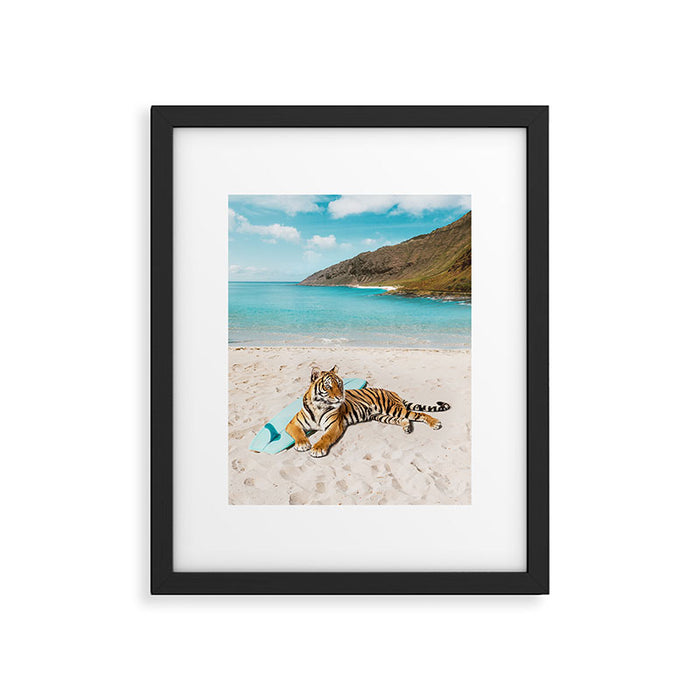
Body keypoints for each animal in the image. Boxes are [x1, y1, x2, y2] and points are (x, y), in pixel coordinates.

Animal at [285, 365, 451, 458]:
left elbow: (326, 437)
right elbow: (298, 433)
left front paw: (317, 449)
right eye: (328, 386)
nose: (340, 397)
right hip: (382, 416)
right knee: (404, 419)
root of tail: (393, 392)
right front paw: (302, 444)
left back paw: (435, 423)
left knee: (420, 414)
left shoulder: (335, 426)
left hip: (393, 409)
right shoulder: (292, 423)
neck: (319, 406)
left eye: (340, 384)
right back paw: (407, 428)